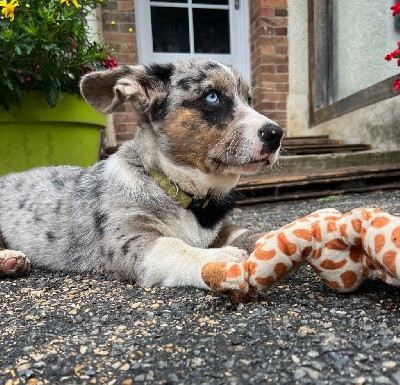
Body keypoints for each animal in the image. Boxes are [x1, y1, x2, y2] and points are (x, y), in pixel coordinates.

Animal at [0, 59, 282, 288]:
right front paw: (220, 257)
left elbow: (246, 233)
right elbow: (173, 246)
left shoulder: (222, 228)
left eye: (249, 99)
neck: (178, 190)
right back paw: (8, 258)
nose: (276, 134)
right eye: (212, 97)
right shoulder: (130, 241)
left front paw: (271, 239)